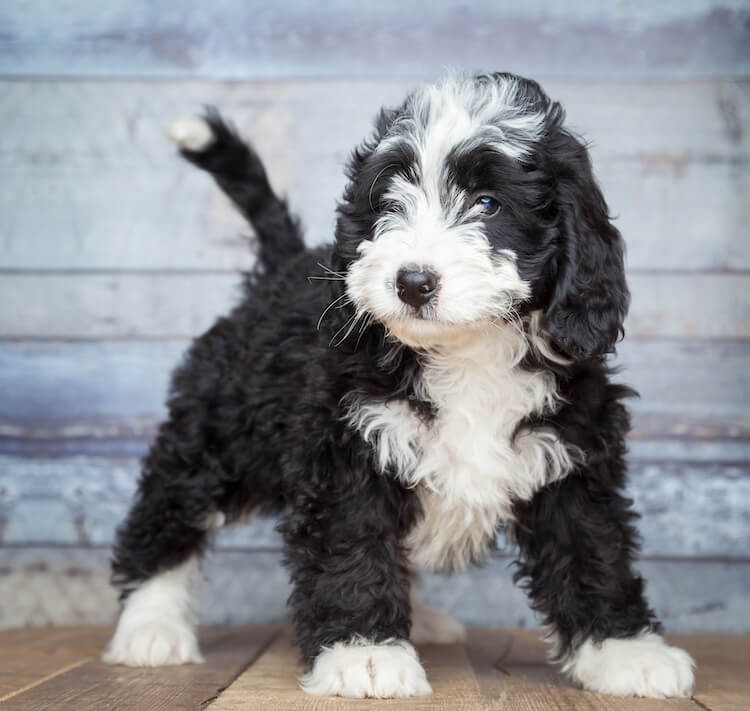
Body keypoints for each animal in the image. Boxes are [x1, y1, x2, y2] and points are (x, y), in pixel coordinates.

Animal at [103, 73, 696, 700]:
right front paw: (363, 652)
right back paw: (150, 625)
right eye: (391, 201)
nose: (412, 281)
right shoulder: (348, 446)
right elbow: (353, 545)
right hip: (220, 430)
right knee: (169, 510)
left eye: (488, 204)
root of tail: (281, 267)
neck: (466, 351)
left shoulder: (572, 451)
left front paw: (624, 649)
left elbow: (593, 547)